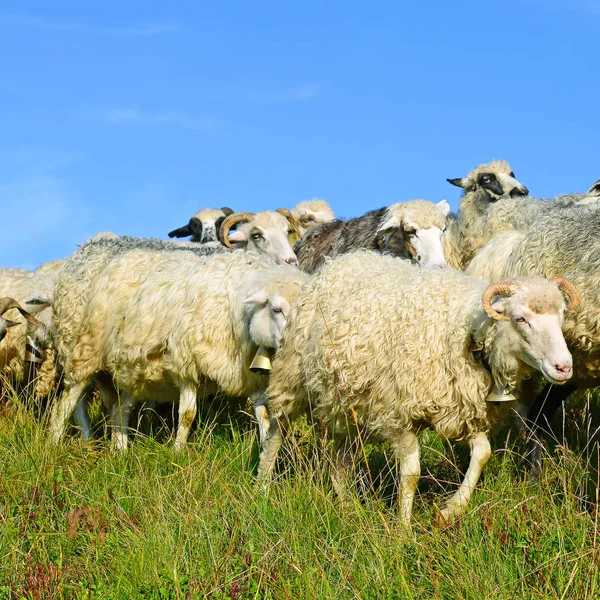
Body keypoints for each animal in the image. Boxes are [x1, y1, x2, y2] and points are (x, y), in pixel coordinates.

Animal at [47, 248, 310, 450]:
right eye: (277, 309)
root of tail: (120, 258)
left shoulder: (250, 375)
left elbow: (263, 416)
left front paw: (265, 454)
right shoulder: (186, 363)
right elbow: (187, 415)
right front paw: (178, 452)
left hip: (133, 367)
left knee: (121, 409)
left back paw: (120, 451)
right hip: (88, 347)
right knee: (68, 402)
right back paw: (54, 443)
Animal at [258, 251, 576, 528]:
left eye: (562, 316)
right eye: (521, 318)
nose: (564, 367)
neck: (468, 331)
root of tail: (339, 262)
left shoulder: (465, 409)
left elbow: (483, 454)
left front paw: (449, 512)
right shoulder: (399, 415)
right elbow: (411, 475)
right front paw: (404, 531)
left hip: (346, 402)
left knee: (339, 461)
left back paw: (349, 508)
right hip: (291, 377)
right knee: (276, 434)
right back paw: (262, 487)